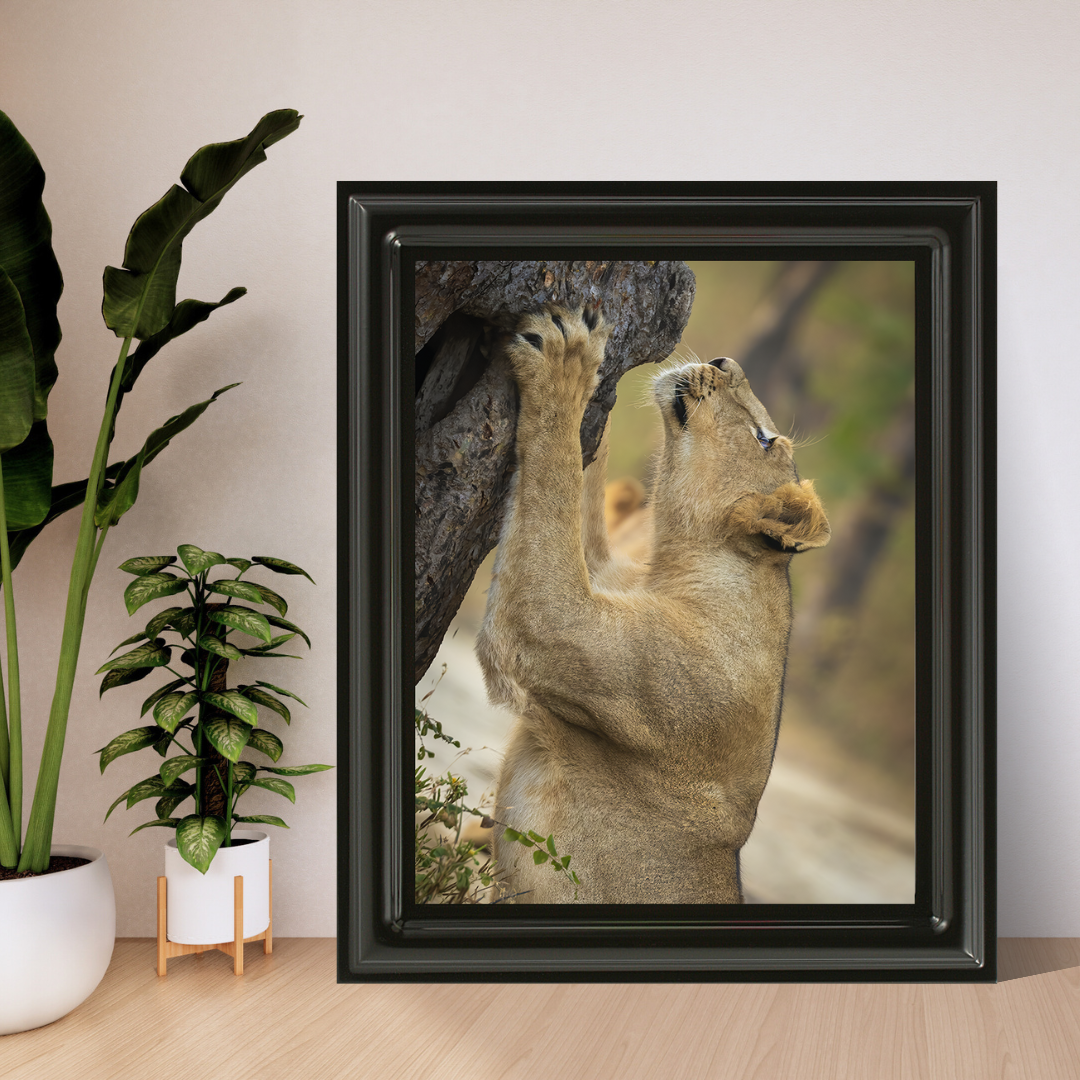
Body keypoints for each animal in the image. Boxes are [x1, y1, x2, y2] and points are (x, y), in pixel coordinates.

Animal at [474, 303, 830, 903]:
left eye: (764, 439)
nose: (724, 361)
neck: (670, 568)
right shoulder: (600, 570)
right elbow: (576, 488)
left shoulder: (555, 626)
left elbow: (556, 478)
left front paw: (566, 364)